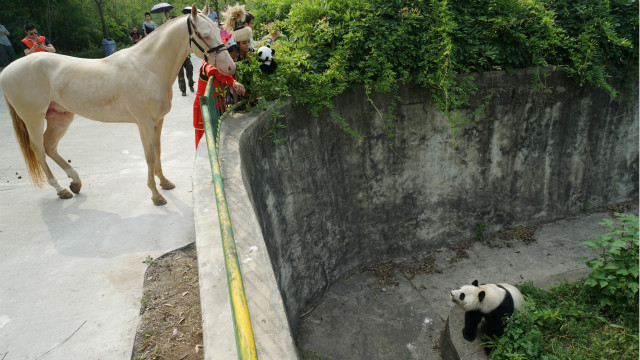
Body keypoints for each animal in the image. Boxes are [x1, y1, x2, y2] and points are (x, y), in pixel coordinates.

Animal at [0, 4, 235, 205]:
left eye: (217, 29)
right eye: (204, 35)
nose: (230, 67)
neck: (147, 67)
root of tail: (6, 72)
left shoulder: (157, 121)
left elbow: (158, 151)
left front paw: (164, 182)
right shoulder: (144, 123)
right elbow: (149, 156)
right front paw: (155, 194)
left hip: (61, 117)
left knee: (49, 146)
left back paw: (75, 182)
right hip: (34, 119)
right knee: (38, 149)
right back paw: (61, 189)